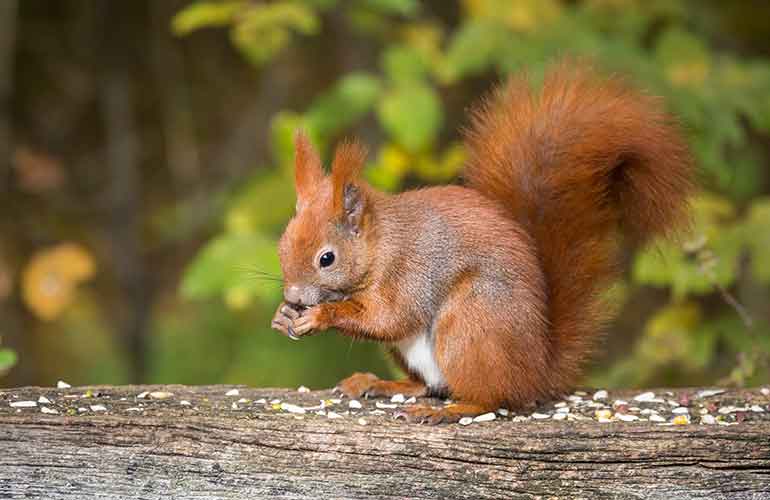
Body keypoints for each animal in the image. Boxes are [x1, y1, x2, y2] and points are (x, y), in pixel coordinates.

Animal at [271, 62, 694, 424]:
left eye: (327, 258)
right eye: (282, 246)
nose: (293, 295)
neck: (380, 246)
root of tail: (534, 372)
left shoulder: (410, 273)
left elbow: (388, 317)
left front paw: (319, 315)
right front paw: (283, 316)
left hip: (471, 323)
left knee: (488, 397)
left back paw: (453, 409)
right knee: (428, 384)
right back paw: (379, 383)